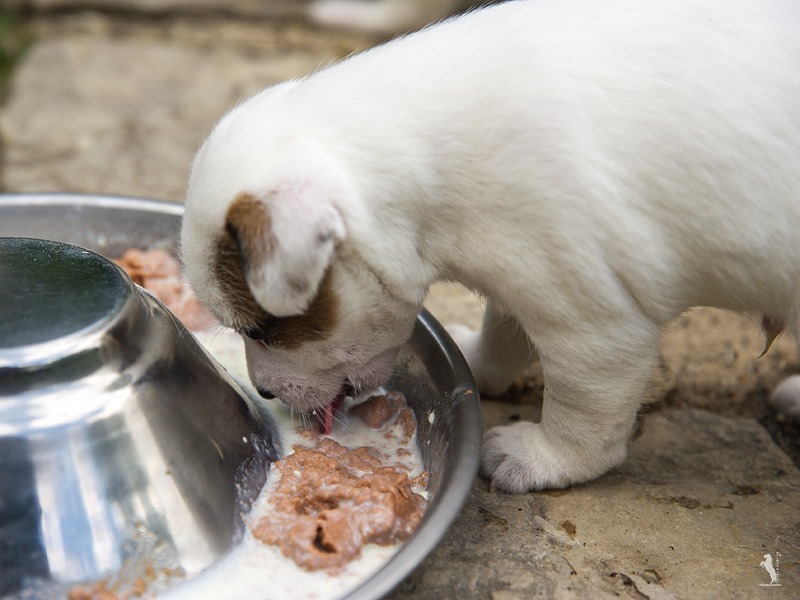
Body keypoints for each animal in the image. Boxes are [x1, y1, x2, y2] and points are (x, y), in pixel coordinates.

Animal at [181, 0, 800, 492]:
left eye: (261, 330)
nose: (264, 392)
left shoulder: (595, 326)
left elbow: (584, 412)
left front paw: (543, 460)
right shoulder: (525, 271)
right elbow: (505, 332)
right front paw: (477, 361)